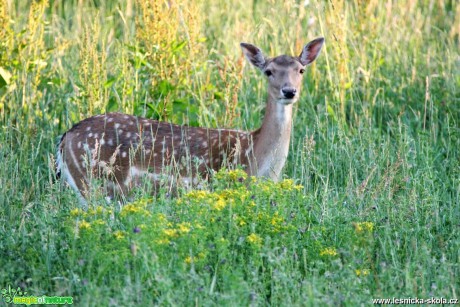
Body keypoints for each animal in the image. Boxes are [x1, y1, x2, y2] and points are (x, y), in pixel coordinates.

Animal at [56, 38, 324, 202]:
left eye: (301, 70)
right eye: (268, 71)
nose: (289, 91)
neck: (256, 160)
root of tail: (65, 138)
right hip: (95, 183)